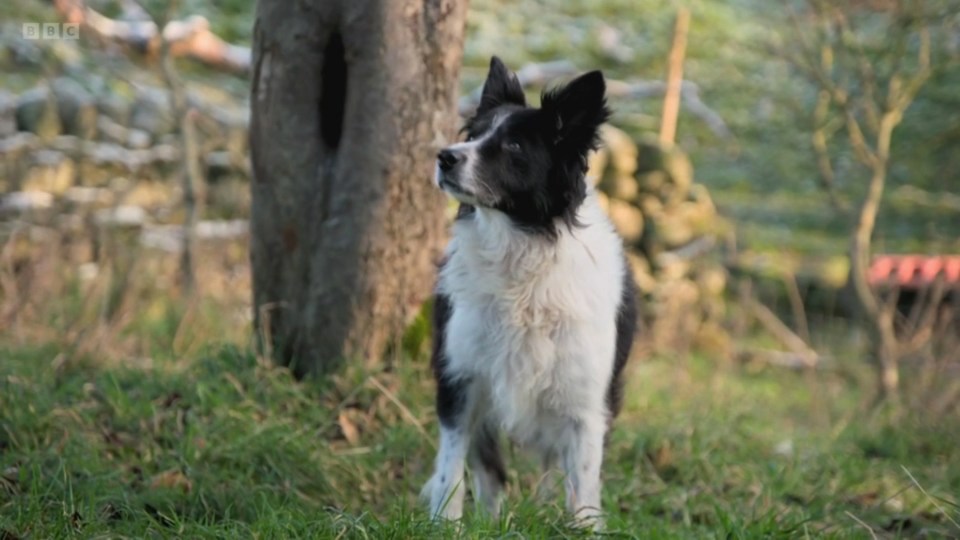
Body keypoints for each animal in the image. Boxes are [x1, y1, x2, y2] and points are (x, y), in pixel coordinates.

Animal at [422, 57, 636, 524]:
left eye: (515, 146)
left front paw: (583, 528)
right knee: (490, 471)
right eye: (473, 134)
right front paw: (446, 525)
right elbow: (451, 471)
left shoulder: (586, 406)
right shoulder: (460, 379)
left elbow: (584, 488)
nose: (444, 157)